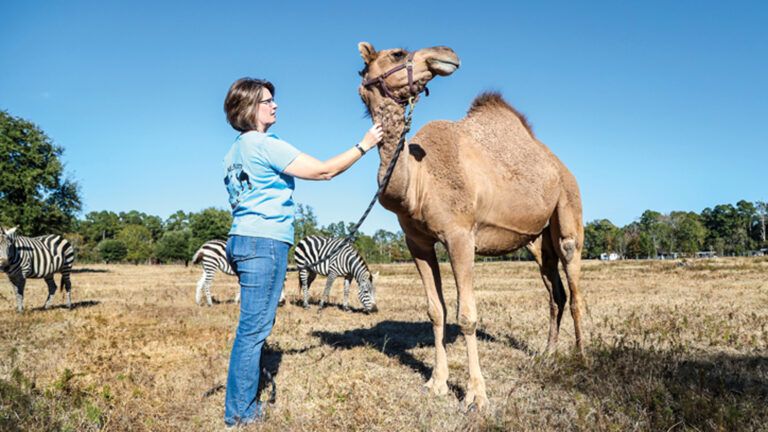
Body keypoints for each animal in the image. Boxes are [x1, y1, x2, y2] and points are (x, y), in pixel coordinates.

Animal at [356, 42, 584, 410]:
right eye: (397, 54)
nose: (446, 53)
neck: (419, 179)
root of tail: (559, 165)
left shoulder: (460, 235)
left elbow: (467, 315)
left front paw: (476, 395)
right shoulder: (416, 241)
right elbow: (435, 311)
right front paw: (436, 383)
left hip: (568, 207)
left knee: (574, 284)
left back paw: (581, 357)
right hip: (537, 240)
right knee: (555, 292)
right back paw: (548, 355)